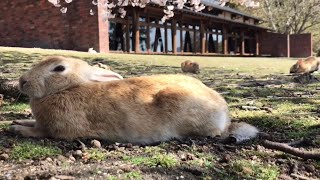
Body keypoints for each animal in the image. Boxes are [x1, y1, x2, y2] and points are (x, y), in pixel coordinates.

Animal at [11, 56, 258, 145]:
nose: (23, 81)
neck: (69, 88)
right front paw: (18, 123)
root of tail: (224, 113)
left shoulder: (59, 130)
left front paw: (20, 130)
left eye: (59, 68)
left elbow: (41, 132)